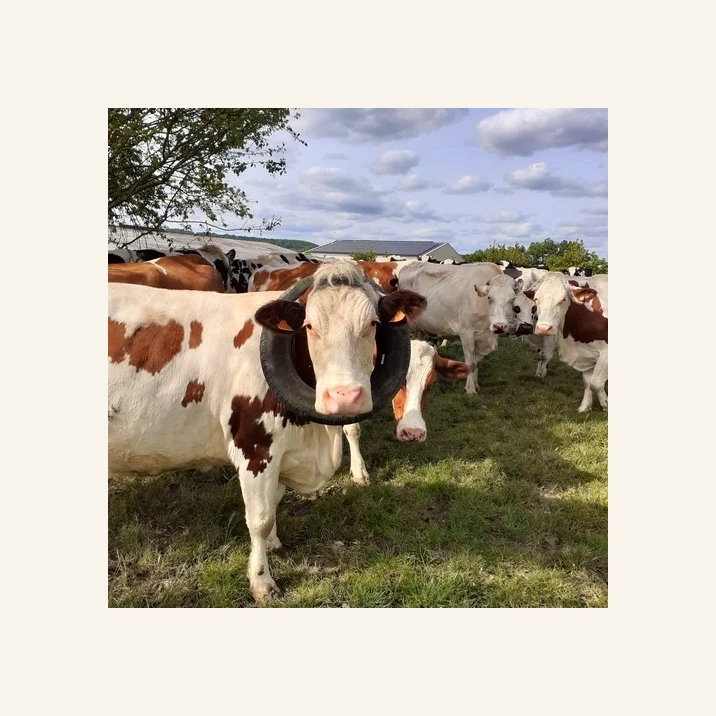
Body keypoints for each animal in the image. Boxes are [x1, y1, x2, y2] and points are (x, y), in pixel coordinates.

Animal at [106, 262, 426, 600]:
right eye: (309, 327)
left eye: (373, 324)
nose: (344, 397)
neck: (313, 436)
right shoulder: (256, 450)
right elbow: (259, 518)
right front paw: (262, 581)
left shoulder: (283, 451)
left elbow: (274, 502)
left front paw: (273, 543)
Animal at [398, 262, 504, 394]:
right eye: (490, 298)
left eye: (512, 300)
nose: (501, 325)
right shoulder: (466, 333)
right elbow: (471, 363)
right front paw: (470, 390)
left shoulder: (484, 337)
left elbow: (478, 362)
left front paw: (476, 385)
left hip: (419, 329)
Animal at [524, 272, 608, 412]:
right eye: (536, 299)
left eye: (563, 299)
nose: (544, 328)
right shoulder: (586, 353)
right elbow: (588, 382)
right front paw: (585, 407)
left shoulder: (606, 353)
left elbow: (596, 383)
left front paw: (606, 404)